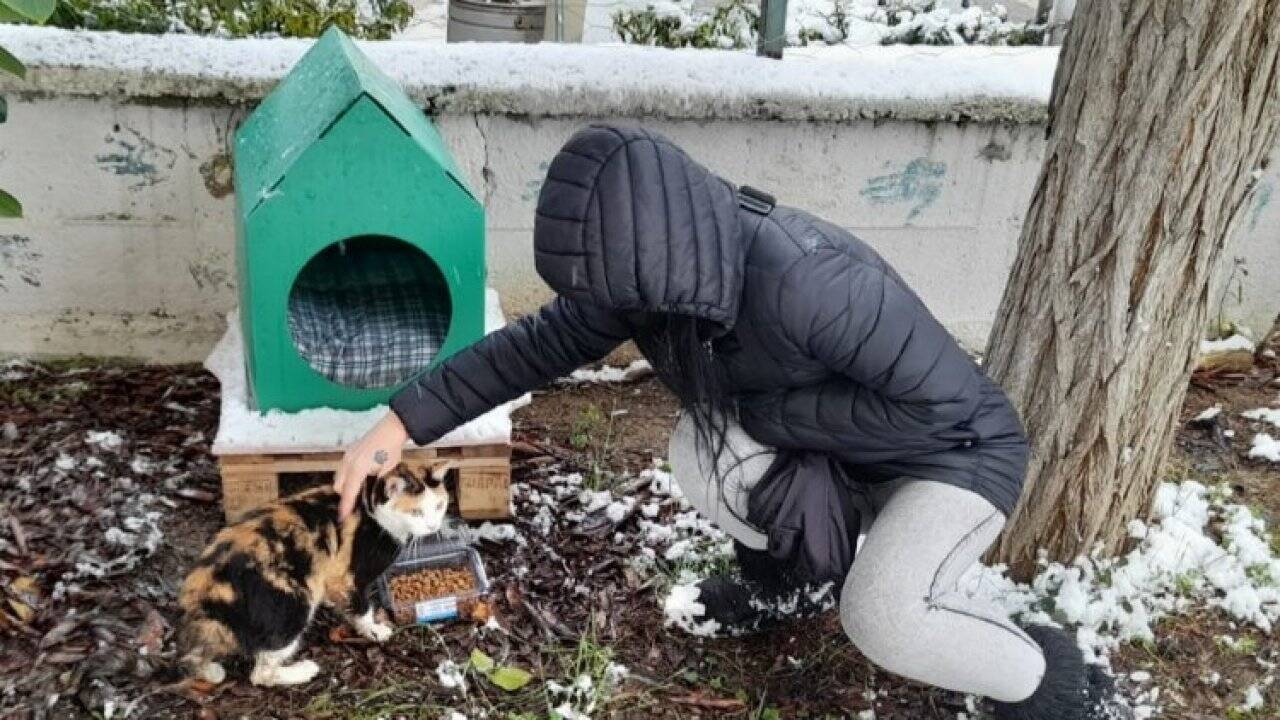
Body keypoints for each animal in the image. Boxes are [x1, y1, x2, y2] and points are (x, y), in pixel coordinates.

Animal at [175, 458, 455, 681]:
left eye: (439, 506)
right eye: (416, 512)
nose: (433, 526)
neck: (370, 510)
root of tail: (206, 585)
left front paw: (333, 603)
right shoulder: (347, 575)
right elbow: (362, 607)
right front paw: (374, 630)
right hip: (291, 604)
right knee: (260, 673)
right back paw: (303, 670)